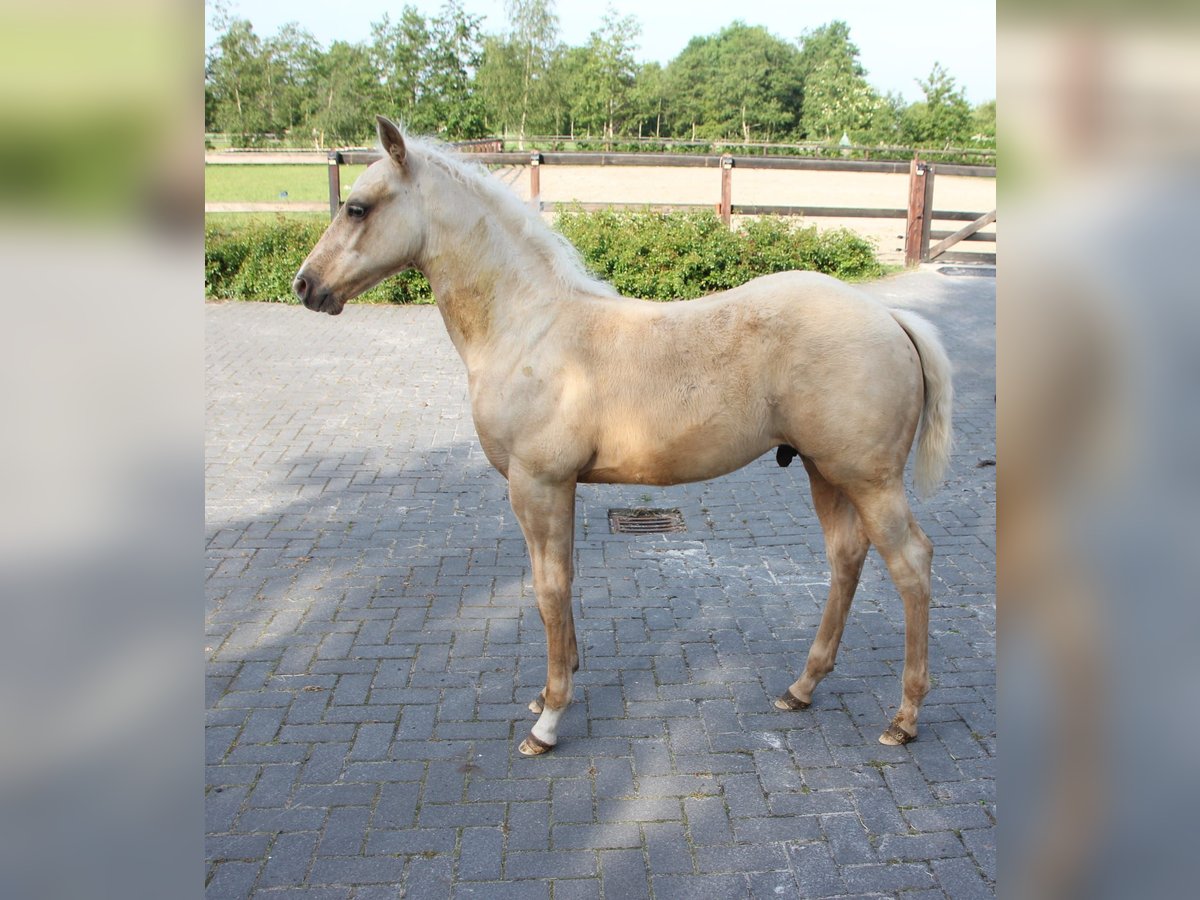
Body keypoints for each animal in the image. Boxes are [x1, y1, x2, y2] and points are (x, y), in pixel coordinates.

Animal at [292, 116, 955, 758]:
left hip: (868, 480)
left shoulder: (539, 484)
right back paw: (802, 687)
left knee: (912, 564)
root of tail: (891, 317)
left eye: (357, 208)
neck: (530, 328)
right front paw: (549, 692)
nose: (305, 286)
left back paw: (905, 717)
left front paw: (549, 720)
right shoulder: (554, 488)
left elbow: (548, 590)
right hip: (825, 472)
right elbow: (558, 583)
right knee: (846, 557)